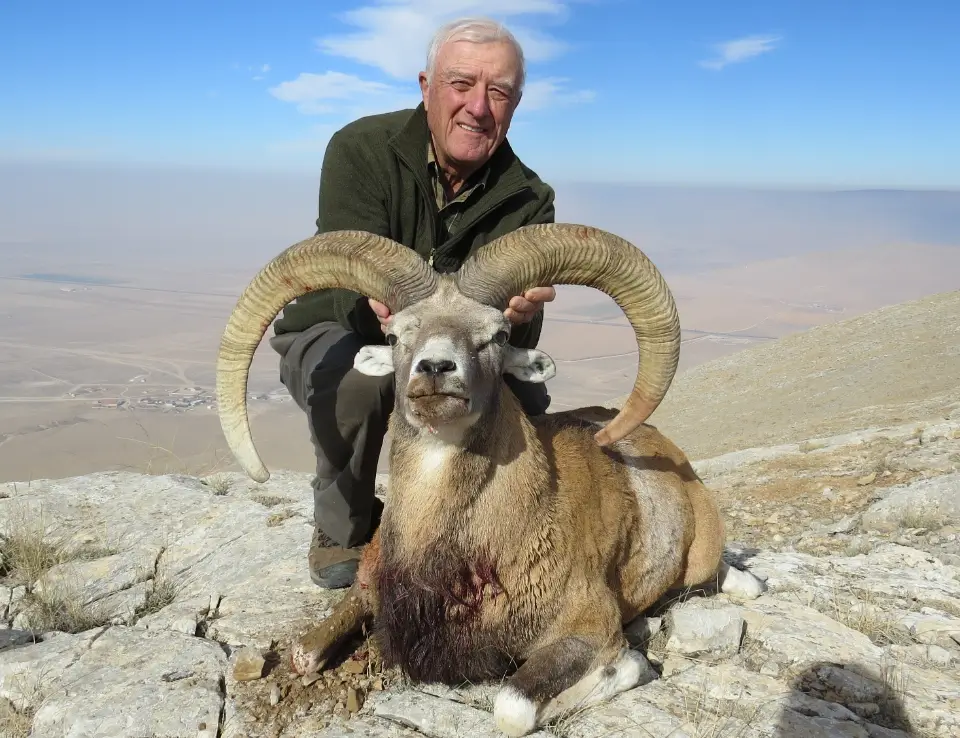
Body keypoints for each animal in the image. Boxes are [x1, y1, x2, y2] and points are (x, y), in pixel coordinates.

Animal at [214, 222, 766, 737]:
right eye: (394, 335)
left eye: (497, 335)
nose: (436, 368)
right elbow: (303, 654)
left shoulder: (585, 626)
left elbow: (513, 705)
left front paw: (628, 664)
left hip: (698, 563)